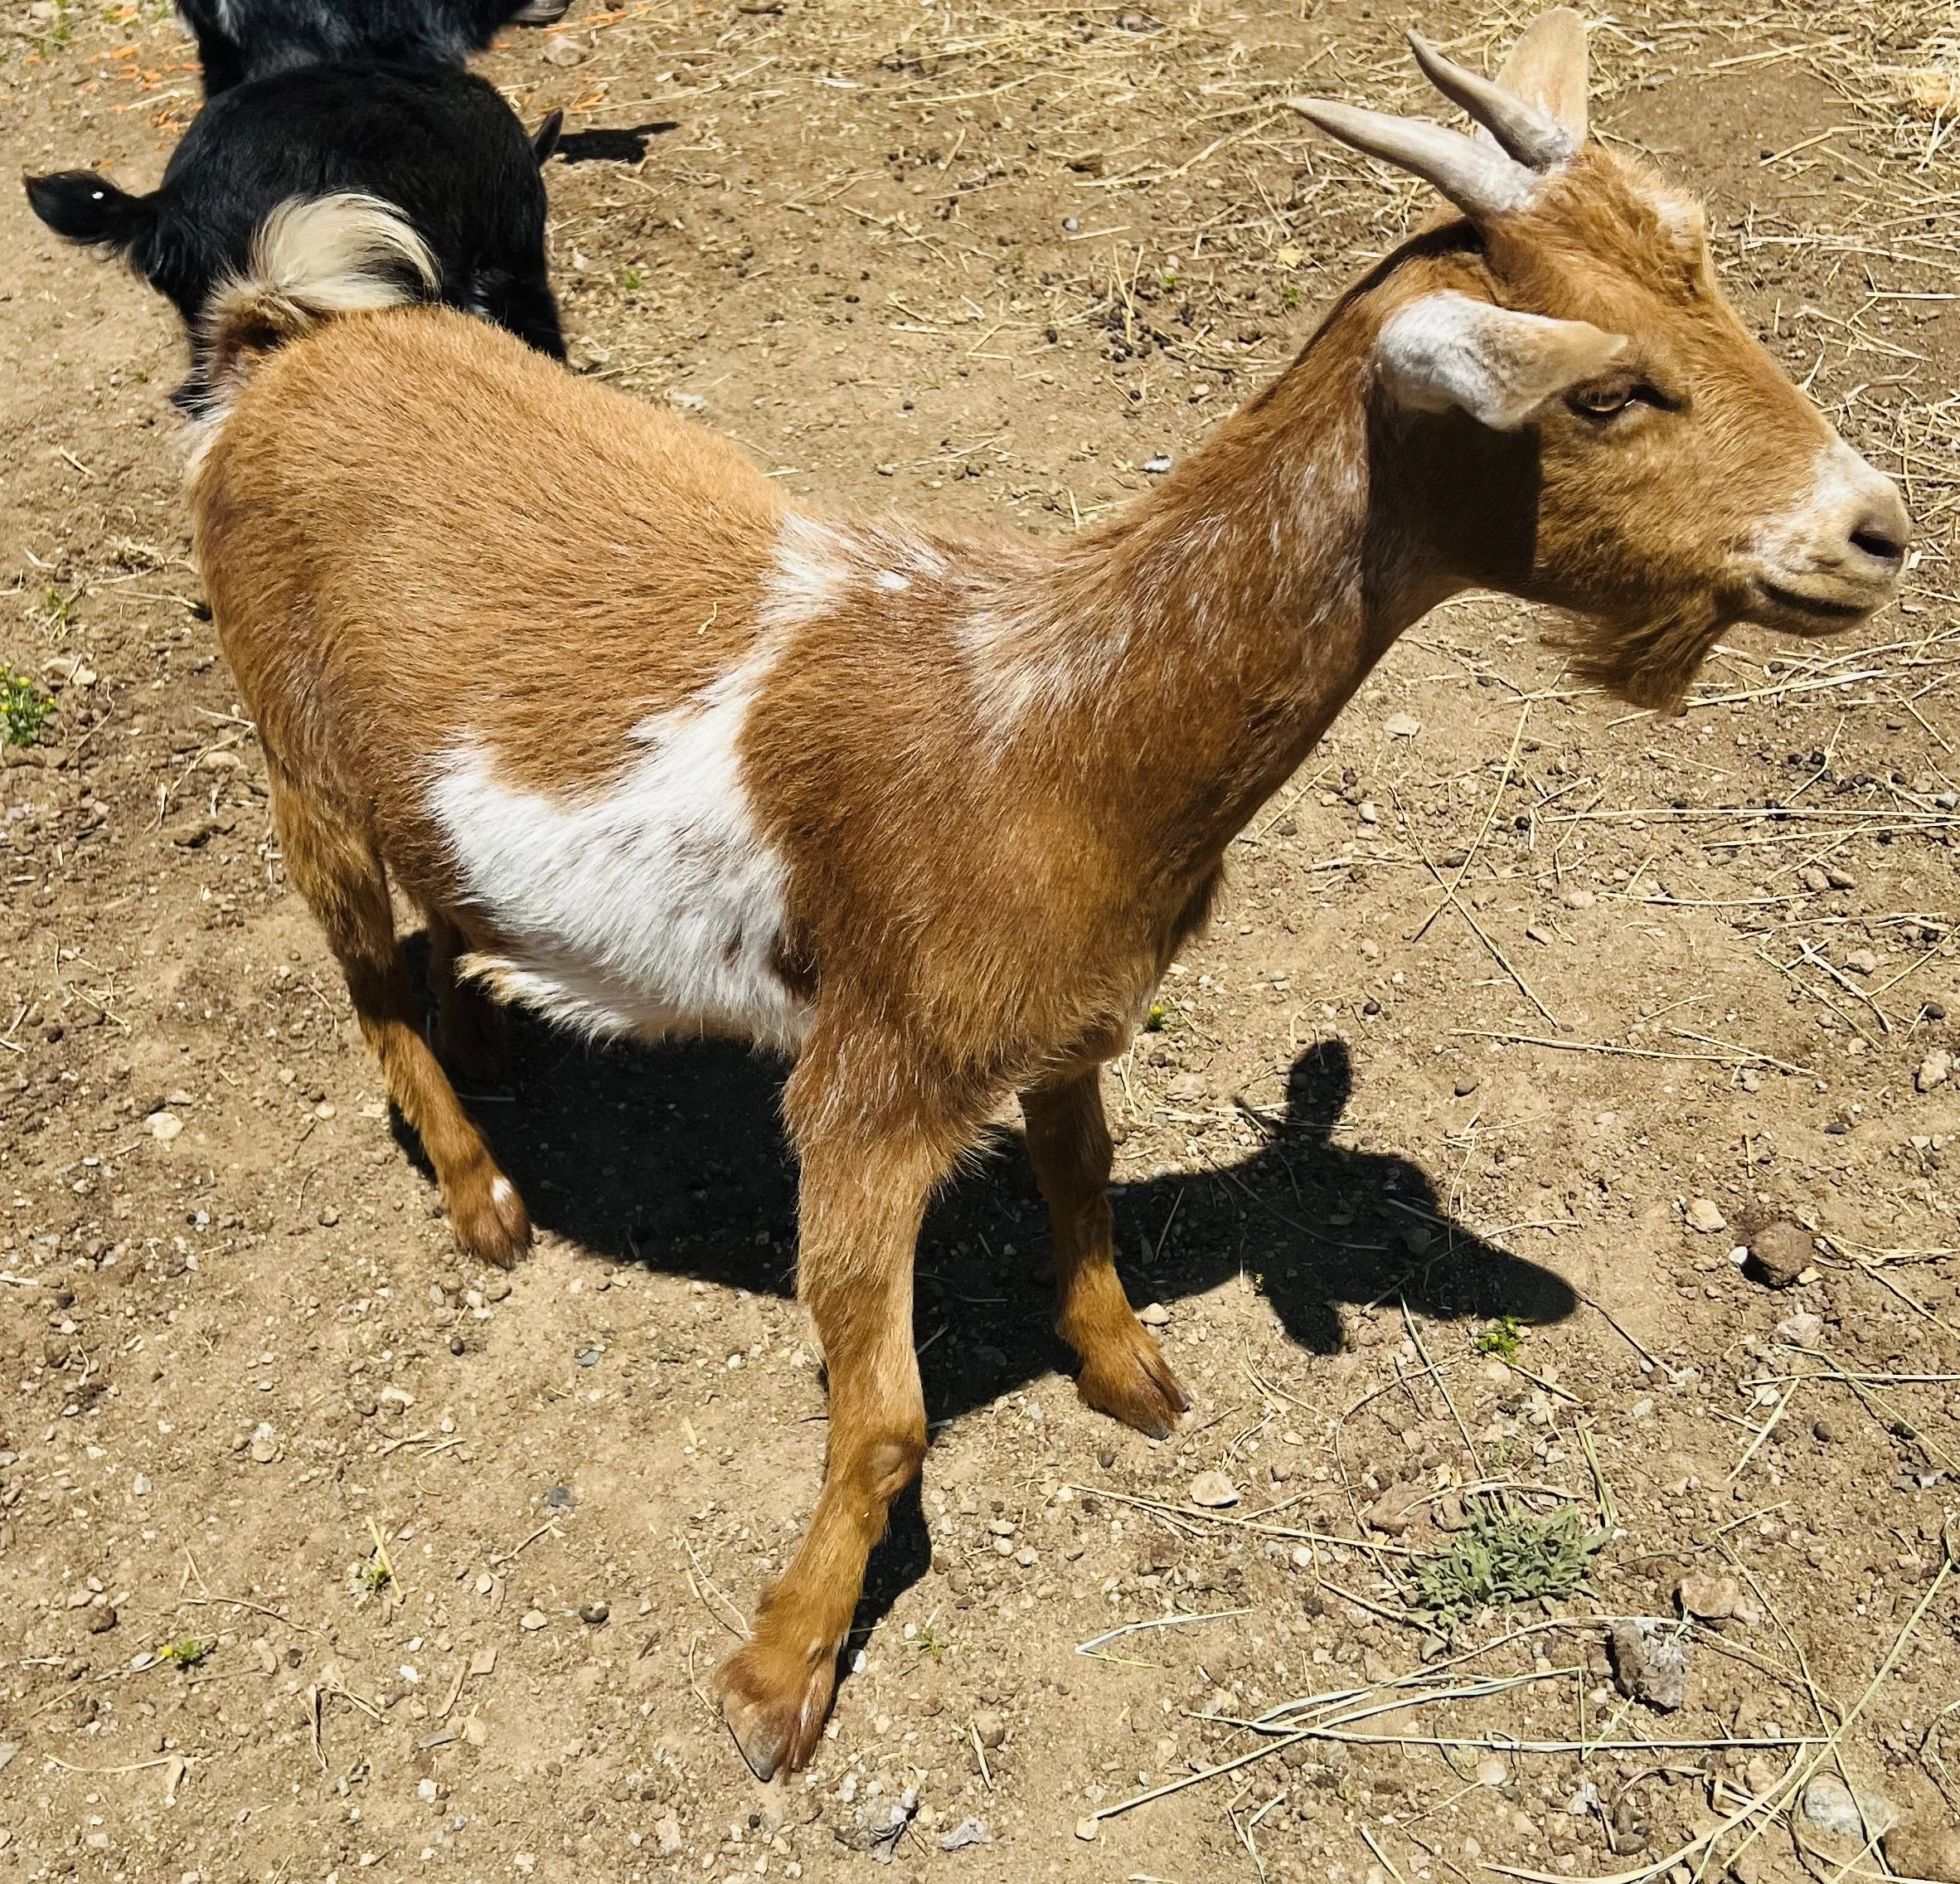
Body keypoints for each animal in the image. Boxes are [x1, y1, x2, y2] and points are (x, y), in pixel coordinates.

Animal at [182, 11, 1907, 1782]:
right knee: (361, 976)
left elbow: (1082, 1181)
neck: (1047, 733)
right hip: (294, 757)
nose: (1874, 530)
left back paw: (496, 1024)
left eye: (1708, 283)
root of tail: (275, 350)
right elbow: (882, 1419)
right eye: (1604, 388)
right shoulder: (868, 1086)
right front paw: (777, 1677)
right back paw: (480, 1193)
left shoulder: (1072, 1009)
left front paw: (1124, 1367)